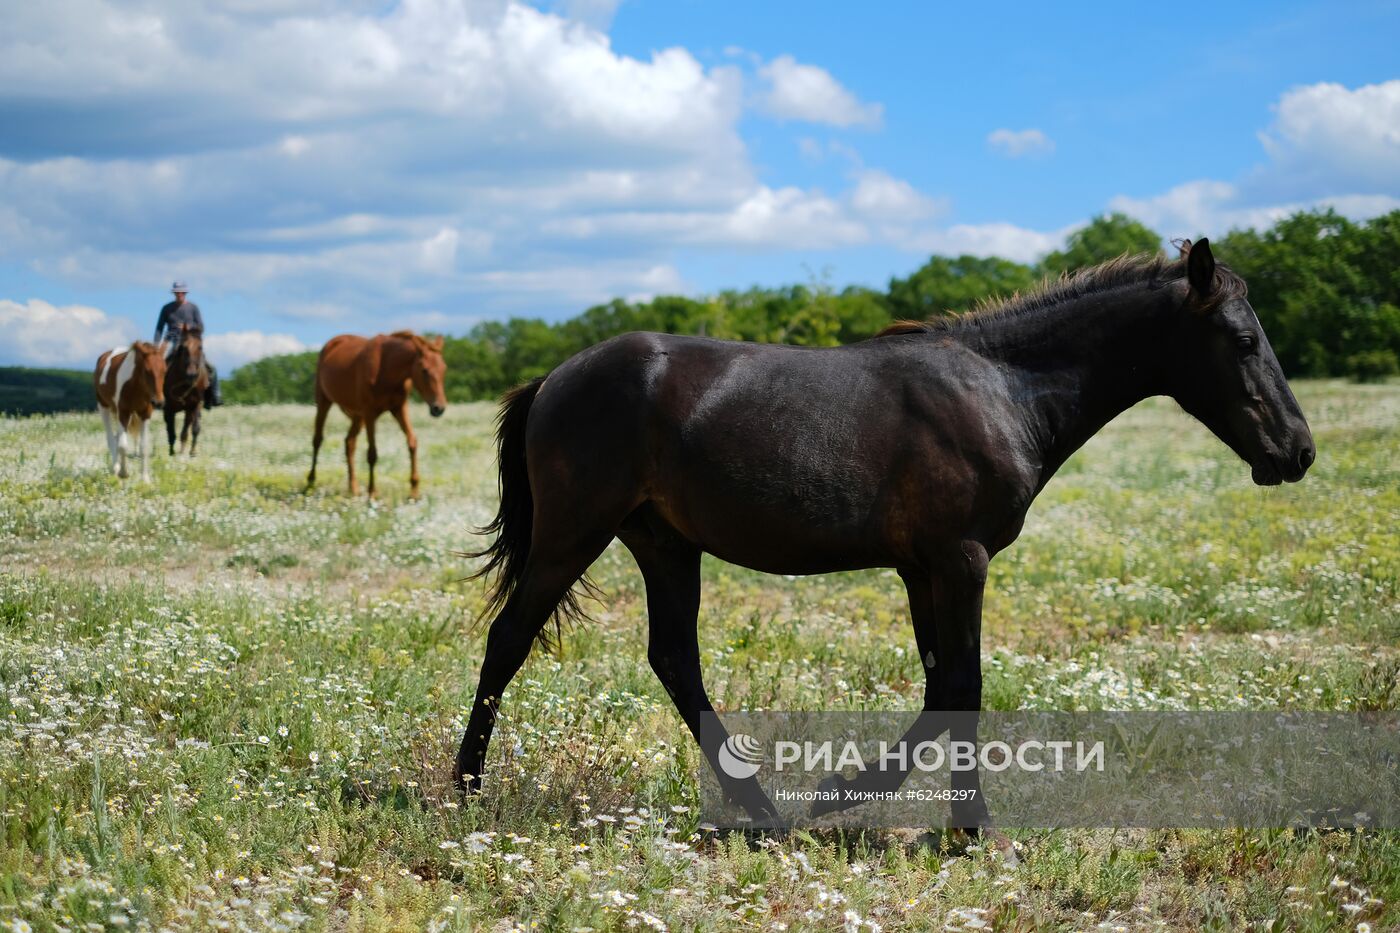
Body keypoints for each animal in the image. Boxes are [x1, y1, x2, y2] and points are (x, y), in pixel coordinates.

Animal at [93, 337, 165, 479]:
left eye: (165, 370)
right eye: (147, 371)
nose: (158, 402)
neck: (134, 385)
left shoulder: (145, 413)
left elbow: (144, 446)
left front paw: (145, 479)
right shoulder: (123, 412)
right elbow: (123, 445)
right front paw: (124, 472)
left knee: (116, 437)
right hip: (104, 406)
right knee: (111, 438)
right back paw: (115, 468)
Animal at [163, 323, 208, 456]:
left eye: (200, 347)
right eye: (183, 347)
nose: (191, 375)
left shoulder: (194, 405)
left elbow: (194, 428)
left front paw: (191, 452)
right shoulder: (169, 408)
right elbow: (171, 430)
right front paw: (172, 453)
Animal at [306, 330, 448, 498]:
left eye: (444, 368)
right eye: (424, 370)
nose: (439, 408)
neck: (386, 368)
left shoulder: (399, 409)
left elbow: (412, 442)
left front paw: (414, 492)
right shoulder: (370, 413)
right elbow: (372, 453)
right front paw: (372, 493)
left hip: (358, 416)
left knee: (349, 442)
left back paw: (353, 488)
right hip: (324, 402)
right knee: (317, 440)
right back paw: (310, 483)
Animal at [456, 239, 1310, 834]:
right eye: (1242, 340)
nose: (1296, 450)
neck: (1000, 390)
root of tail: (553, 377)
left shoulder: (921, 569)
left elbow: (940, 688)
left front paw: (845, 793)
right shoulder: (959, 560)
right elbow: (964, 686)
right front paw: (964, 822)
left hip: (665, 545)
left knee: (673, 661)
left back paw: (764, 808)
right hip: (575, 533)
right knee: (508, 639)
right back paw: (465, 788)